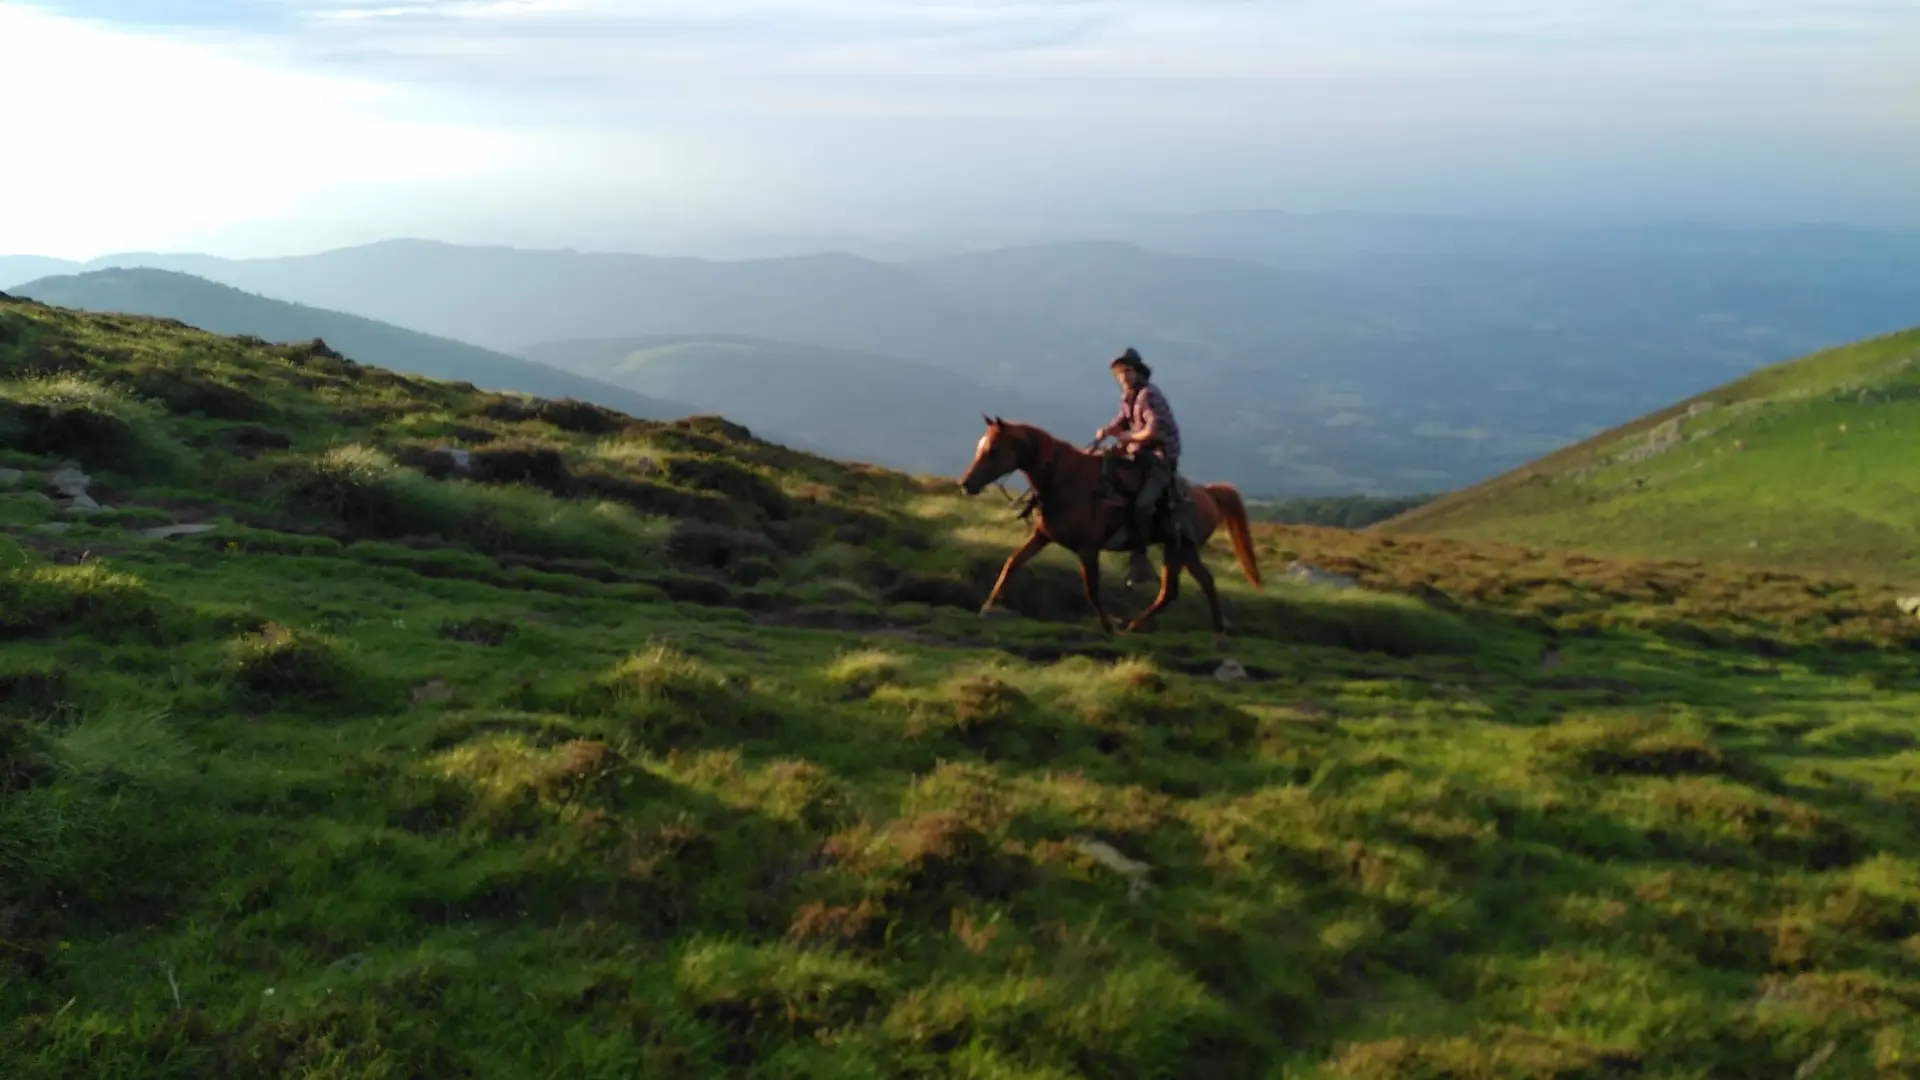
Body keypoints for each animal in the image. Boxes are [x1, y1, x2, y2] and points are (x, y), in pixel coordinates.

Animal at [956, 413, 1259, 641]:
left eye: (994, 450)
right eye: (980, 446)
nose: (966, 483)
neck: (1064, 479)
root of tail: (1209, 493)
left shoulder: (1088, 549)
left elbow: (1091, 589)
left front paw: (1109, 625)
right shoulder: (1042, 536)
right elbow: (1012, 563)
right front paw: (988, 606)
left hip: (1179, 549)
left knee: (1186, 586)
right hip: (1181, 551)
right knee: (1187, 586)